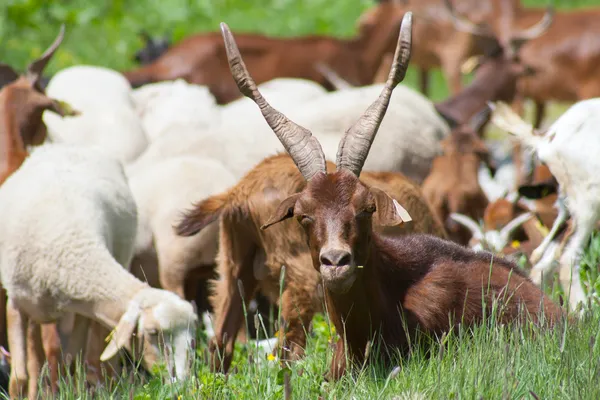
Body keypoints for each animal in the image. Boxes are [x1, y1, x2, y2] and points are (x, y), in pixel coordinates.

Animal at [0, 144, 197, 396]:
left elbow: (70, 365)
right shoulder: (15, 303)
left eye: (192, 338)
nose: (180, 384)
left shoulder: (82, 309)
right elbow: (19, 378)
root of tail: (65, 146)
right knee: (36, 357)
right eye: (153, 332)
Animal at [492, 99, 600, 310]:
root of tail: (549, 138)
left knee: (543, 258)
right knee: (567, 257)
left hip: (569, 204)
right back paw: (582, 310)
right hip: (588, 200)